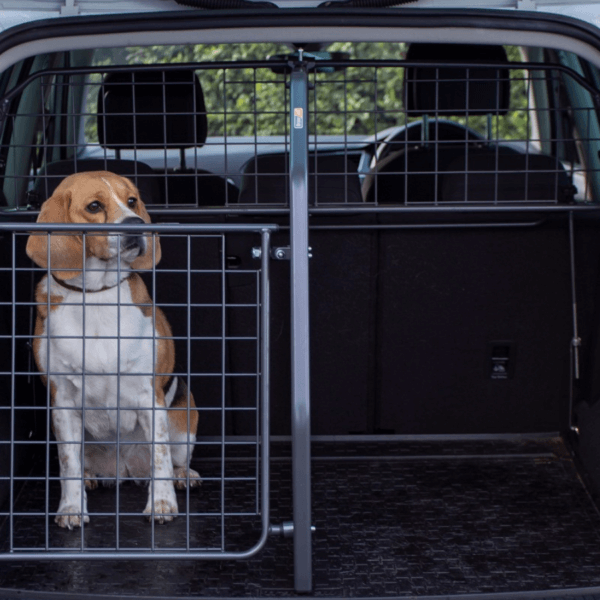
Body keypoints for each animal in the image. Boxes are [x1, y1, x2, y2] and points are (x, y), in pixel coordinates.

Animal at [25, 170, 200, 528]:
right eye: (94, 206)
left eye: (132, 201)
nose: (137, 224)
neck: (97, 295)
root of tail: (124, 469)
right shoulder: (62, 402)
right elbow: (68, 465)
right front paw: (71, 508)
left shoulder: (149, 397)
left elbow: (160, 457)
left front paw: (162, 505)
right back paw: (91, 477)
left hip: (184, 423)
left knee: (173, 459)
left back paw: (184, 475)